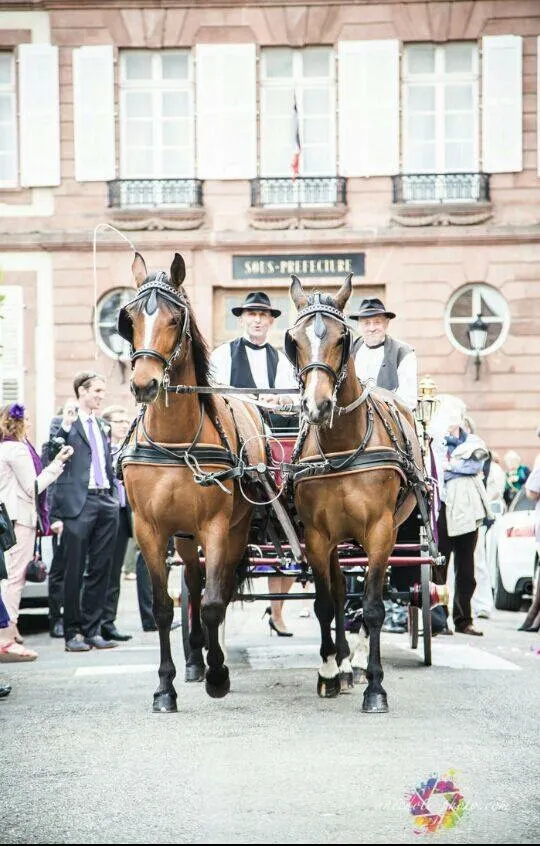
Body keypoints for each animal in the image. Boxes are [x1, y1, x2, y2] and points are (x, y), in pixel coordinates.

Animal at [117, 252, 268, 712]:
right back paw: (195, 659)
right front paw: (165, 687)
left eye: (173, 318)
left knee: (215, 587)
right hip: (184, 537)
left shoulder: (216, 526)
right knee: (194, 583)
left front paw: (219, 675)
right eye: (129, 318)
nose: (144, 384)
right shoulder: (148, 529)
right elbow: (165, 607)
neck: (173, 441)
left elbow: (216, 603)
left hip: (234, 529)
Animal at [284, 273, 425, 713]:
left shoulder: (380, 531)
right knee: (338, 591)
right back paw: (344, 665)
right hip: (336, 543)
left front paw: (375, 686)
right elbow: (326, 603)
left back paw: (360, 664)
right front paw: (329, 672)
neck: (342, 447)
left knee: (364, 598)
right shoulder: (317, 536)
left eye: (341, 338)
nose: (317, 405)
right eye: (293, 340)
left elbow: (374, 606)